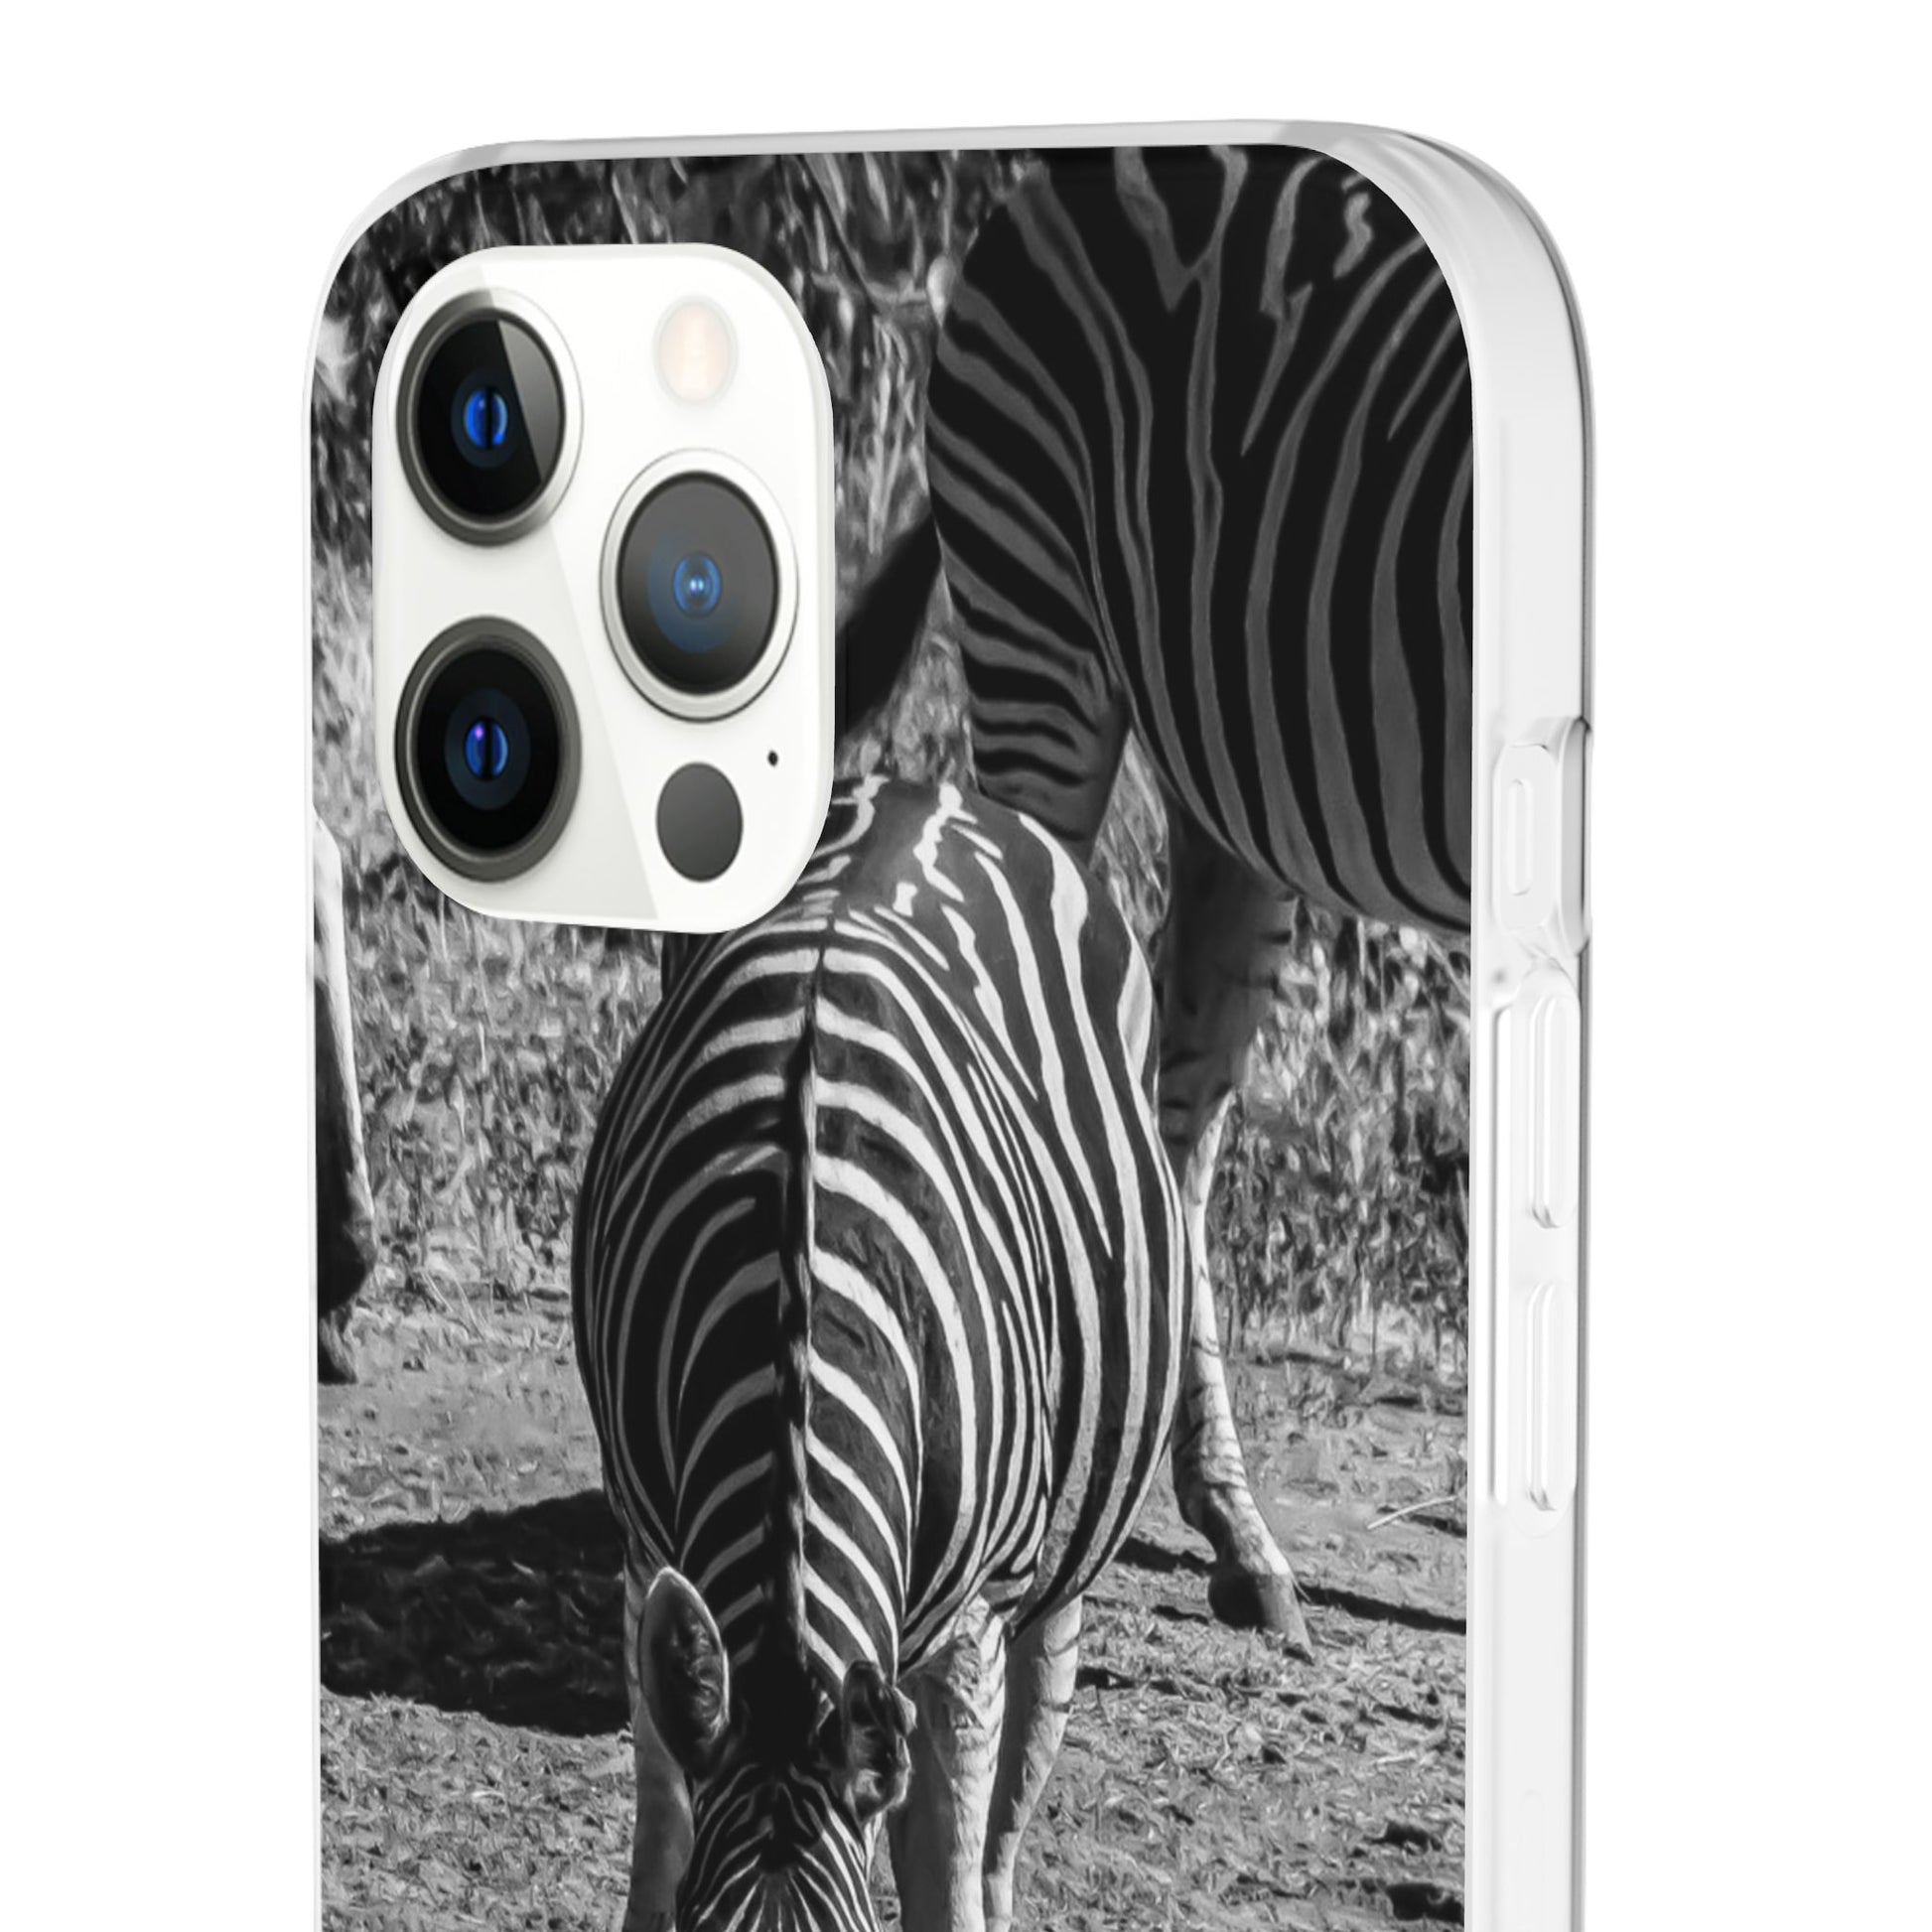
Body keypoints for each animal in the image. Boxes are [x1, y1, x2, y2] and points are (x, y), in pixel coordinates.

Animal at [573, 776, 1185, 1932]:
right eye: (698, 1929)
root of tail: (925, 788)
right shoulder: (643, 1546)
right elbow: (661, 1831)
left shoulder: (969, 1627)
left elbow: (942, 1877)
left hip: (1050, 1558)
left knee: (1014, 1779)